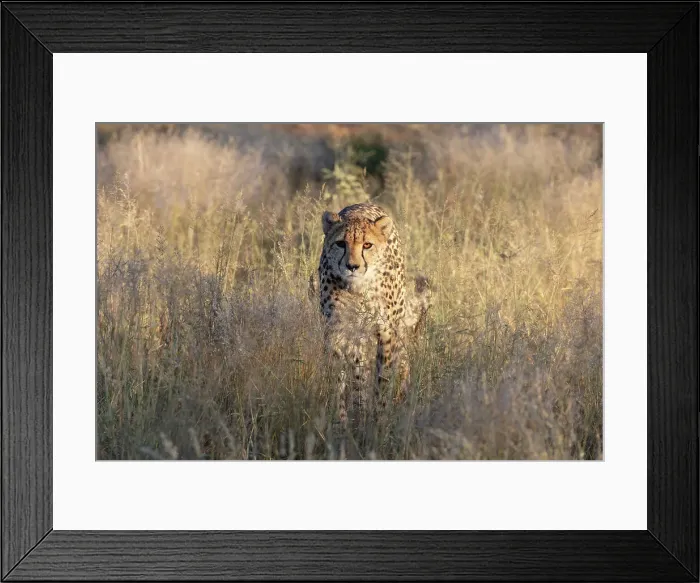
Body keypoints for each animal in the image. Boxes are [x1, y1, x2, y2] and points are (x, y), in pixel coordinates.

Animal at [313, 202, 431, 428]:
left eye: (367, 245)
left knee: (402, 361)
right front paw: (342, 421)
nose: (352, 266)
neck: (357, 289)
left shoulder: (386, 332)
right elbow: (339, 380)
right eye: (340, 244)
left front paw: (379, 419)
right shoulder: (337, 332)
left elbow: (382, 378)